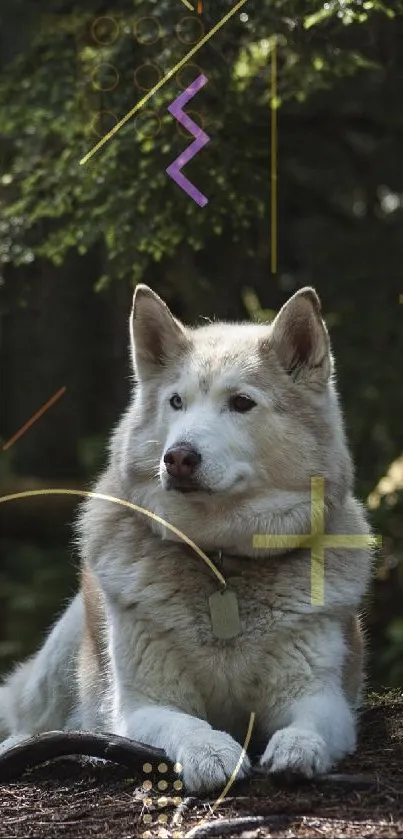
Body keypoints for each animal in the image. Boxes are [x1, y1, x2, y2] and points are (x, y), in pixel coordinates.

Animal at [0, 286, 376, 792]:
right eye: (176, 402)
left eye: (242, 403)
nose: (177, 457)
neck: (219, 561)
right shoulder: (143, 705)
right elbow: (186, 725)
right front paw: (210, 753)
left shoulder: (321, 696)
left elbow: (308, 726)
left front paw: (298, 749)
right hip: (62, 659)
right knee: (32, 721)